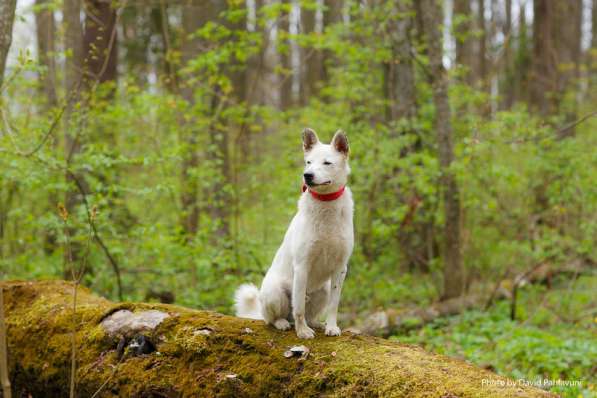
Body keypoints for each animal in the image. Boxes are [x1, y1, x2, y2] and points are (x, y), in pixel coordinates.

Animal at [234, 128, 354, 338]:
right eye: (308, 162)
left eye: (327, 163)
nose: (307, 176)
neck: (326, 206)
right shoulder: (302, 265)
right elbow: (298, 308)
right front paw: (302, 332)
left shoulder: (340, 268)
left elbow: (334, 305)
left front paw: (331, 327)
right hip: (274, 292)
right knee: (273, 318)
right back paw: (283, 323)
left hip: (322, 290)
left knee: (311, 313)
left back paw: (316, 323)